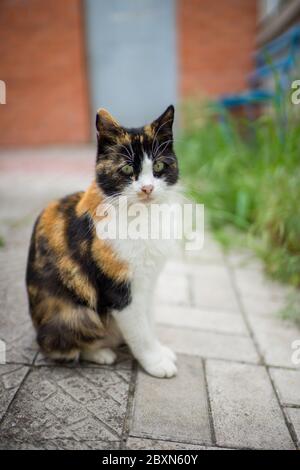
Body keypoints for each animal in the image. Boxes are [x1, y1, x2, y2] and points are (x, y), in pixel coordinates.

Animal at [25, 105, 179, 378]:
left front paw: (160, 350)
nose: (147, 189)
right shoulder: (119, 289)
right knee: (60, 347)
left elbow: (149, 320)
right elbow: (140, 331)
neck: (142, 217)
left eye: (160, 165)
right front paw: (155, 362)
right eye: (127, 170)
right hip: (76, 314)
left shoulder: (148, 282)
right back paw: (99, 353)